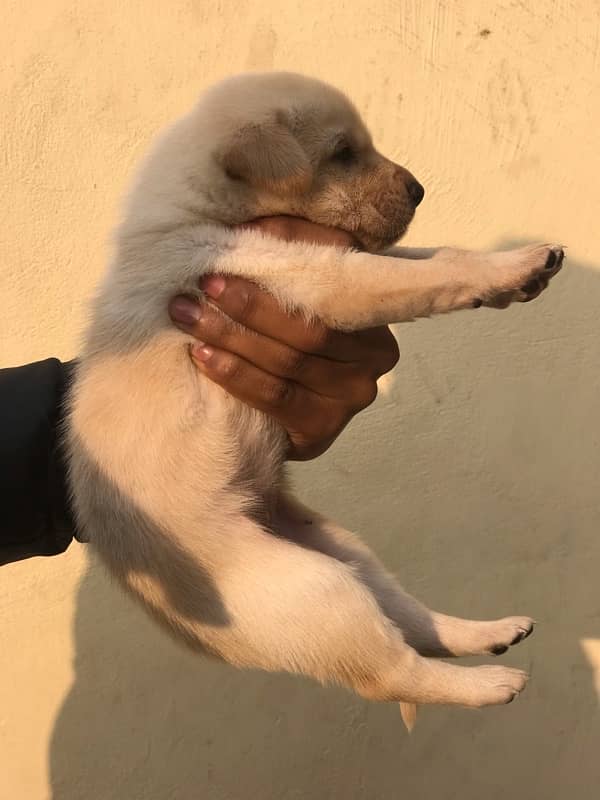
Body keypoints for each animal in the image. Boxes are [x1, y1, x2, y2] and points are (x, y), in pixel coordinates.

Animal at [65, 73, 564, 724]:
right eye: (342, 153)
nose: (420, 189)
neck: (195, 213)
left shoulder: (335, 254)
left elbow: (431, 258)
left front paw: (513, 277)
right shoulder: (317, 275)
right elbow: (425, 275)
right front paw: (512, 268)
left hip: (345, 555)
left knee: (415, 623)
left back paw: (491, 632)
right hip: (319, 593)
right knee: (394, 672)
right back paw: (492, 683)